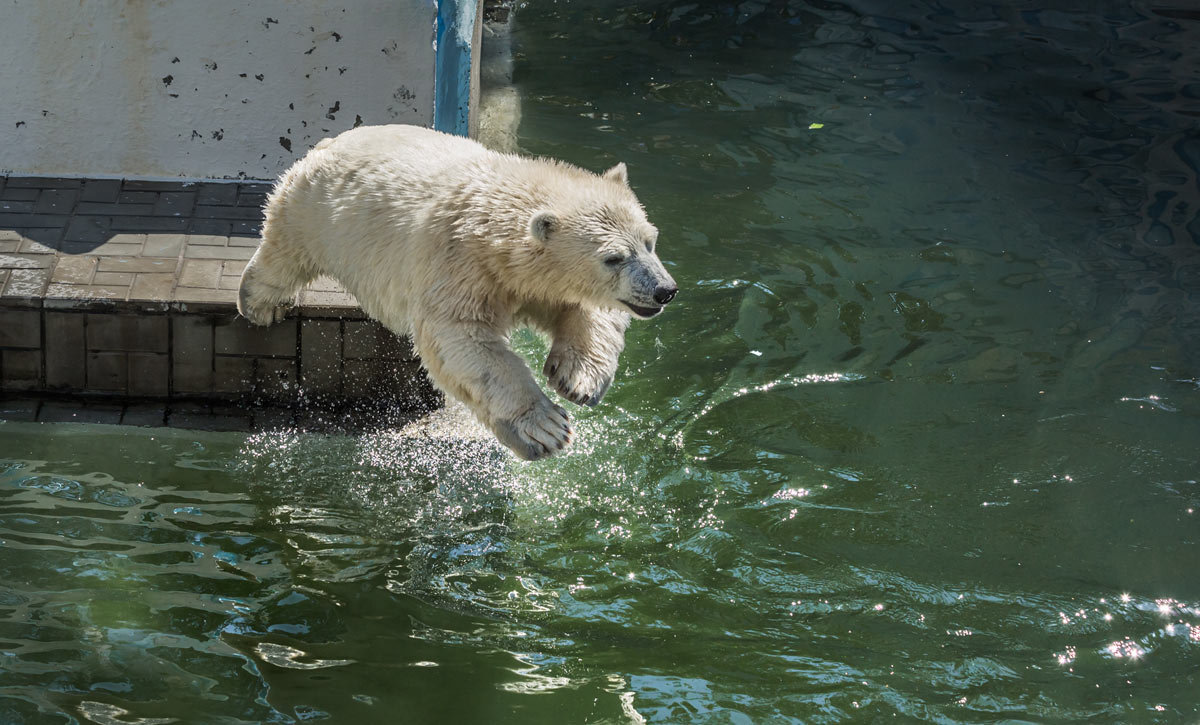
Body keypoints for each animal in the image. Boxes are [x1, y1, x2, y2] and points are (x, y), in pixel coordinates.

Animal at [238, 123, 681, 458]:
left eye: (650, 241)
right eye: (613, 257)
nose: (665, 290)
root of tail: (333, 140)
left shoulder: (534, 280)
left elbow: (585, 309)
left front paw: (577, 379)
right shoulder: (459, 263)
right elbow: (462, 339)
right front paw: (547, 428)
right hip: (315, 208)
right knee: (284, 250)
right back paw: (258, 302)